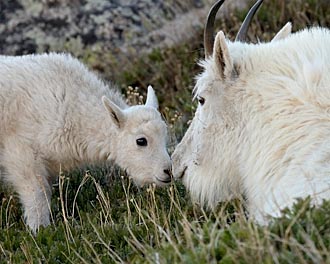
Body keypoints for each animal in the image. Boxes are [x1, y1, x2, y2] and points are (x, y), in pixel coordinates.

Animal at [0, 52, 173, 232]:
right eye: (141, 141)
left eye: (164, 135)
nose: (168, 171)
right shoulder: (23, 155)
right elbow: (37, 195)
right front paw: (39, 229)